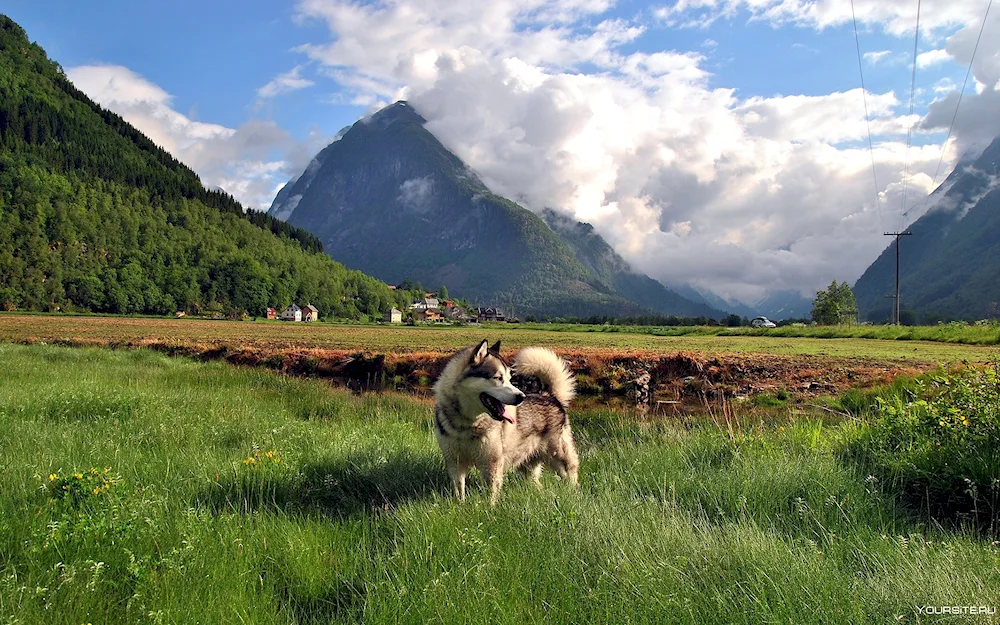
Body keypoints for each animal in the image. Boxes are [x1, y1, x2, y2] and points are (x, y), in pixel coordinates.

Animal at [430, 338, 580, 504]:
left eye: (509, 379)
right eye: (498, 378)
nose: (522, 397)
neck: (467, 425)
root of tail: (549, 396)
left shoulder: (492, 462)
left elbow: (490, 492)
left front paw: (489, 507)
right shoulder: (454, 462)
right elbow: (458, 490)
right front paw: (460, 505)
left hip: (559, 457)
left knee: (571, 474)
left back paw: (573, 494)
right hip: (528, 464)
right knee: (535, 482)